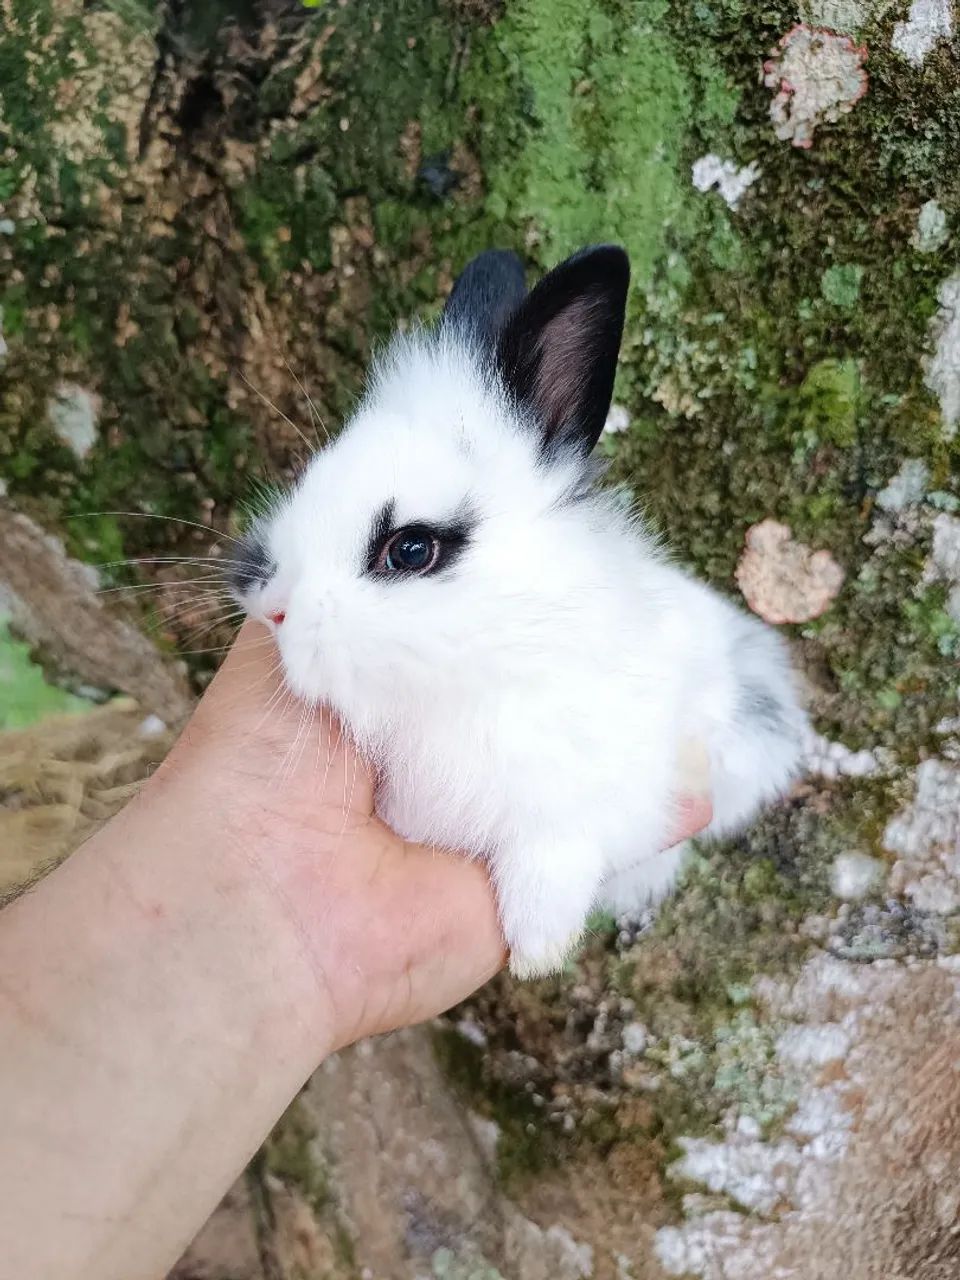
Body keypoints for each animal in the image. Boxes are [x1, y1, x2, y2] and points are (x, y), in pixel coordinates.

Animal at [231, 245, 807, 978]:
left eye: (410, 549)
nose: (272, 608)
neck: (500, 652)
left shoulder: (597, 799)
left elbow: (553, 858)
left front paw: (539, 948)